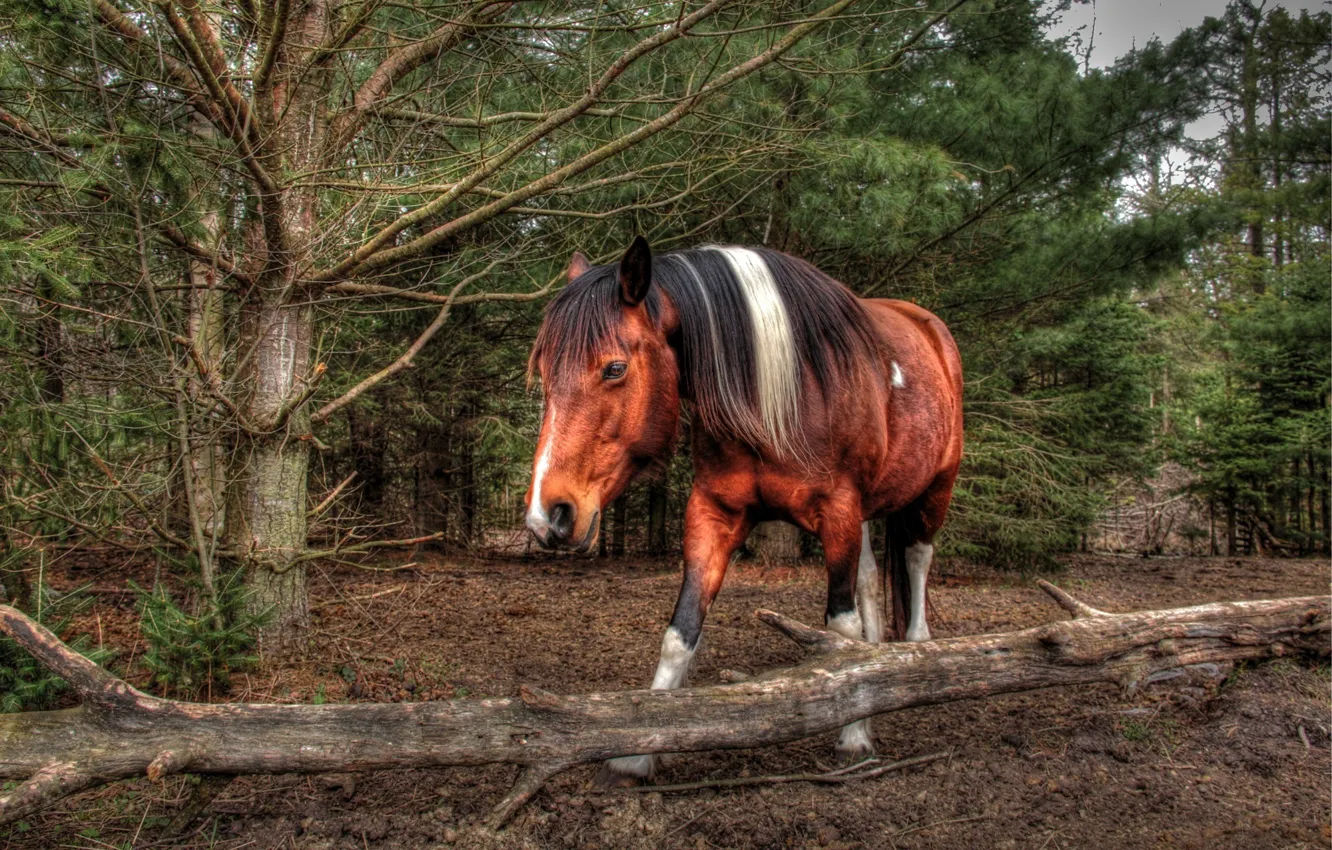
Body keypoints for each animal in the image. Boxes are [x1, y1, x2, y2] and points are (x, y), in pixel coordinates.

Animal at [524, 237, 964, 783]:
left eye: (615, 368)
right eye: (544, 372)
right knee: (869, 581)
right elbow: (680, 632)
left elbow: (839, 629)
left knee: (917, 562)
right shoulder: (714, 513)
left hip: (934, 490)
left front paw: (853, 735)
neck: (779, 395)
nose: (548, 514)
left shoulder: (838, 513)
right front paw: (639, 752)